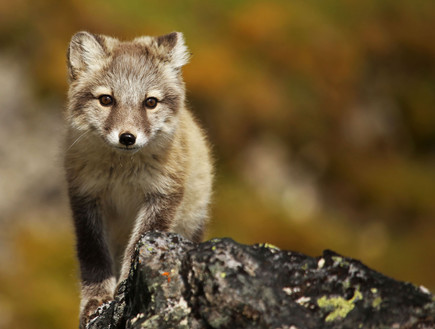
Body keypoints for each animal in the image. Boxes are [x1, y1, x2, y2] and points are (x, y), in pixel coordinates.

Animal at [64, 31, 213, 326]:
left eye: (150, 102)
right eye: (106, 100)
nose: (127, 137)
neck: (122, 173)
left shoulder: (163, 195)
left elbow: (138, 246)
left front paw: (124, 290)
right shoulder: (85, 198)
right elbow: (94, 256)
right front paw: (96, 301)